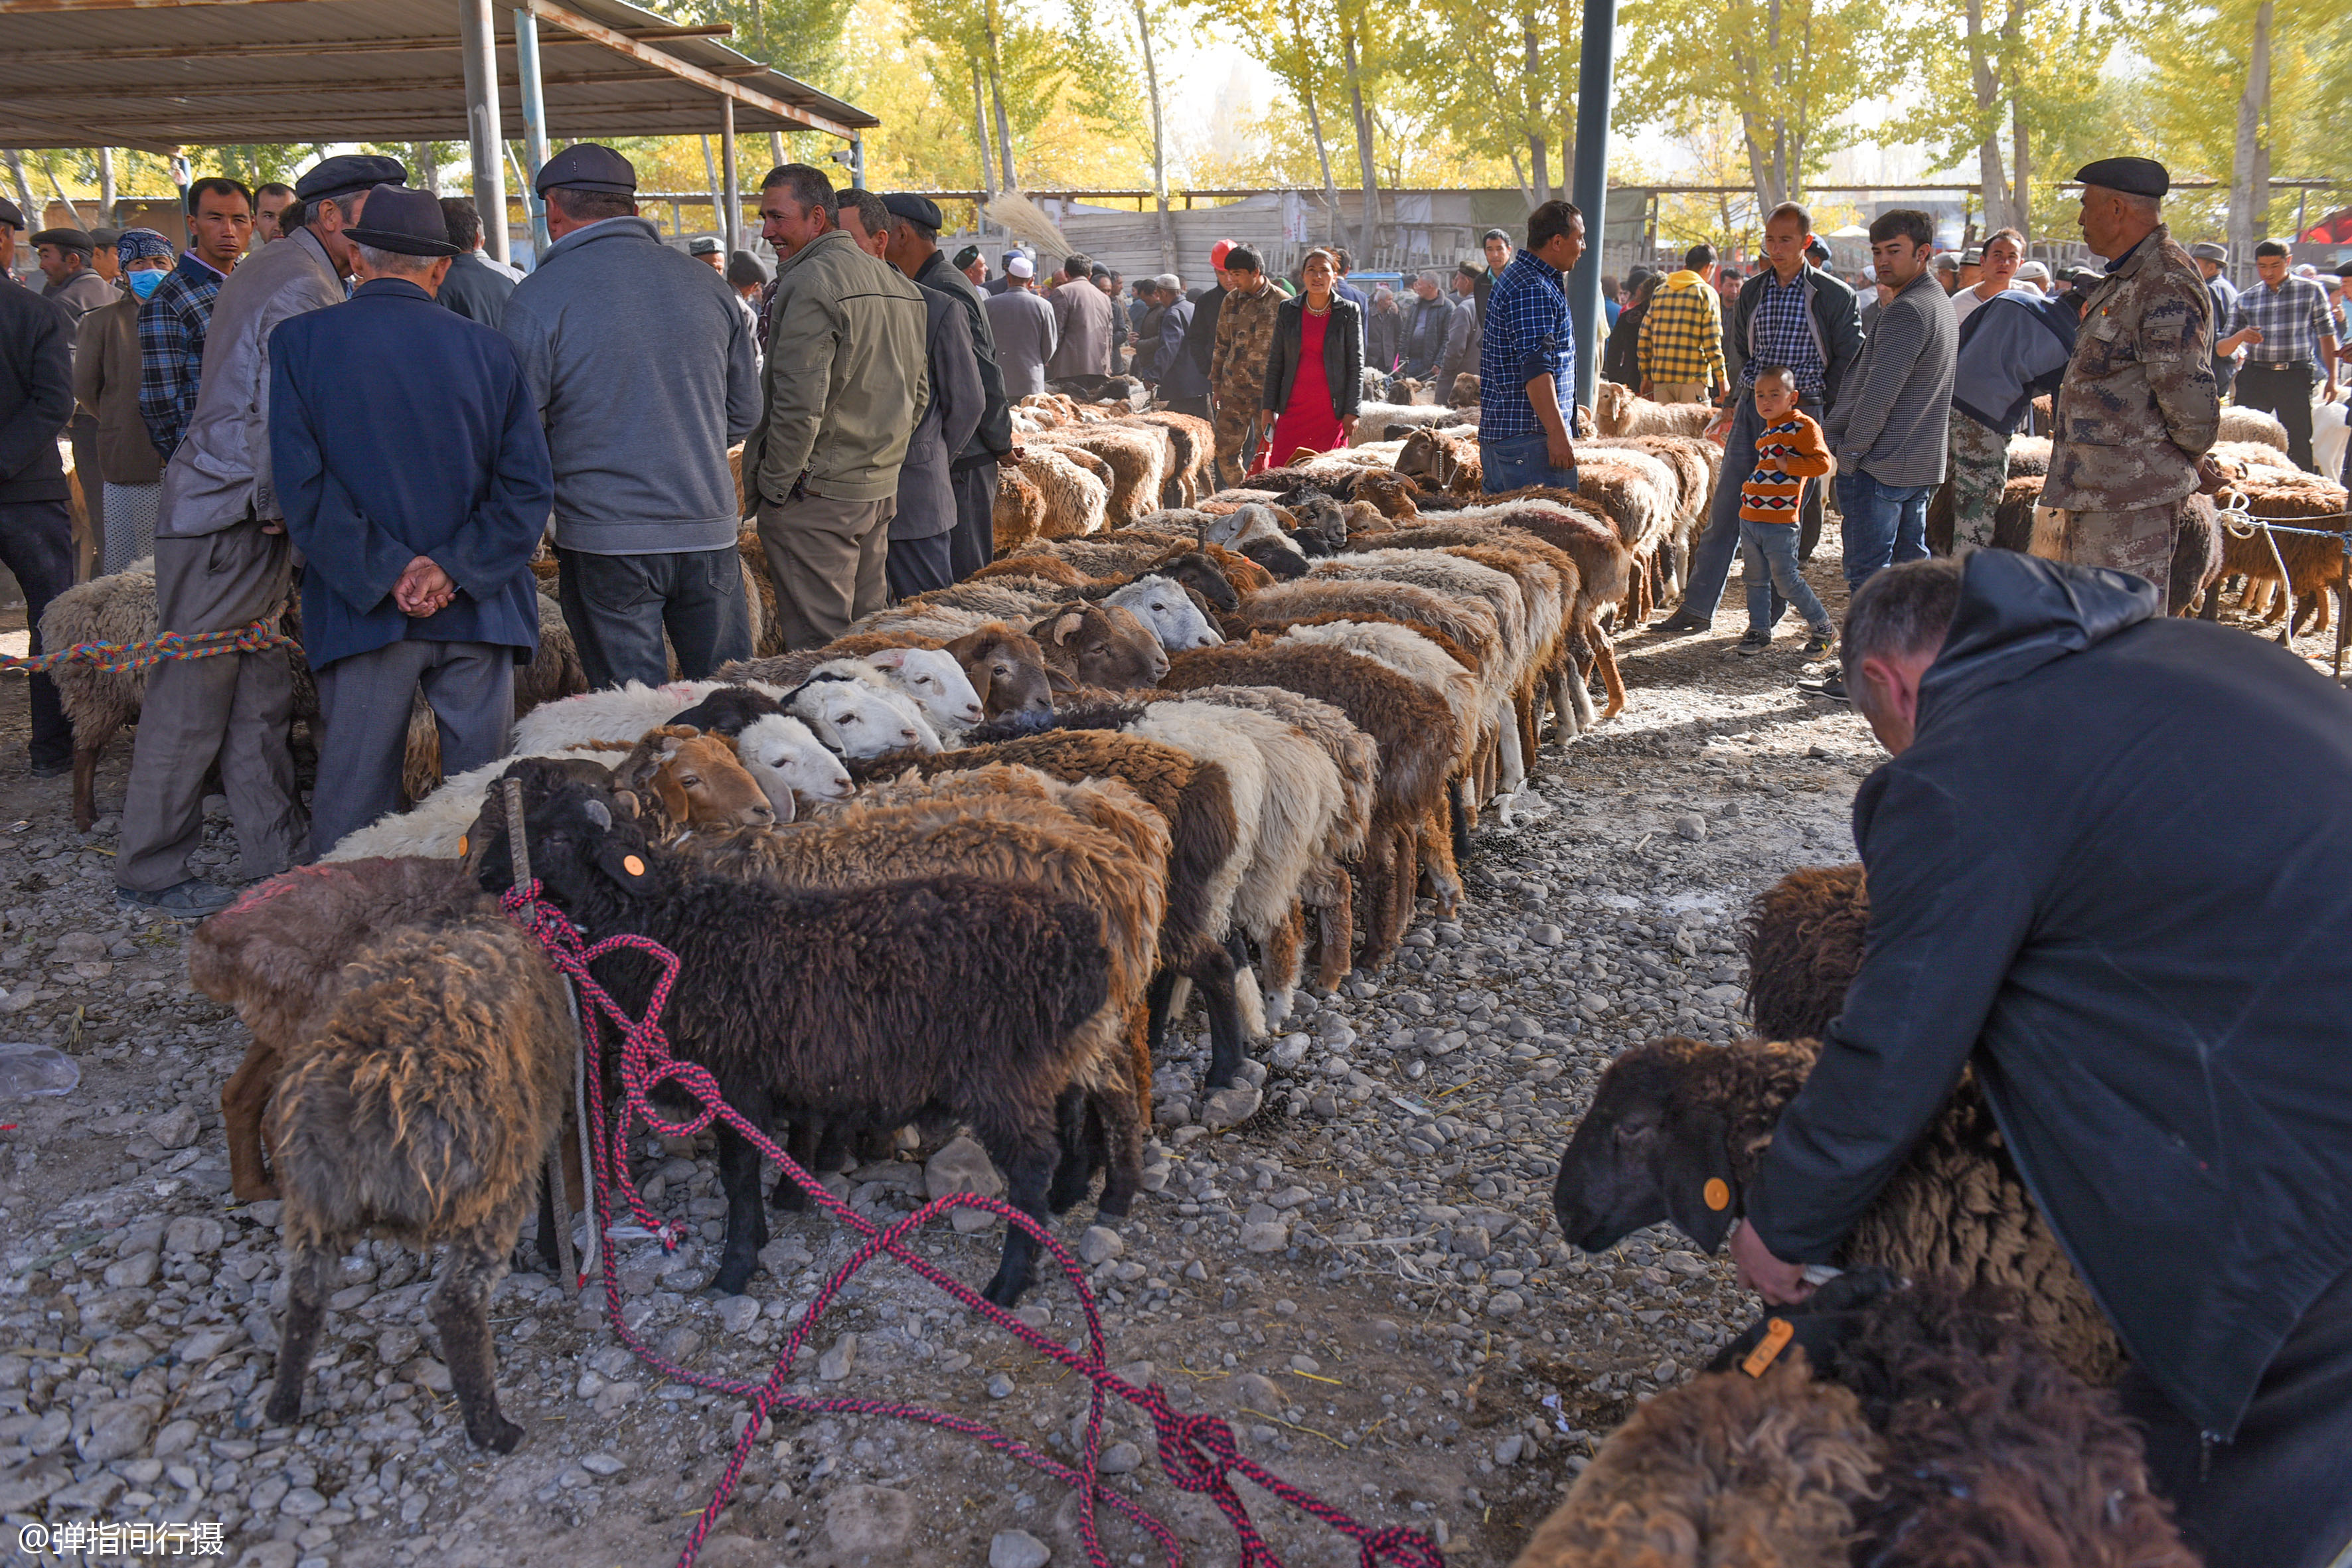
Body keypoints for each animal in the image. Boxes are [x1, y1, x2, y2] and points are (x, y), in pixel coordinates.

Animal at [264, 911, 576, 1457]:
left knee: (304, 1298)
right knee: (455, 1305)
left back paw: (283, 1403)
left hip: (313, 1204)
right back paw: (494, 1431)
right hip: (488, 1195)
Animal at [473, 771, 1115, 1297]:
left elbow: (737, 1174)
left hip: (998, 1075)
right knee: (1070, 1117)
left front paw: (733, 1268)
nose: (483, 873)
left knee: (1030, 1167)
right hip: (1044, 1065)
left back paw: (1009, 1282)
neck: (675, 930)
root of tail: (1083, 943)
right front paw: (755, 1239)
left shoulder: (730, 1078)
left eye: (557, 840)